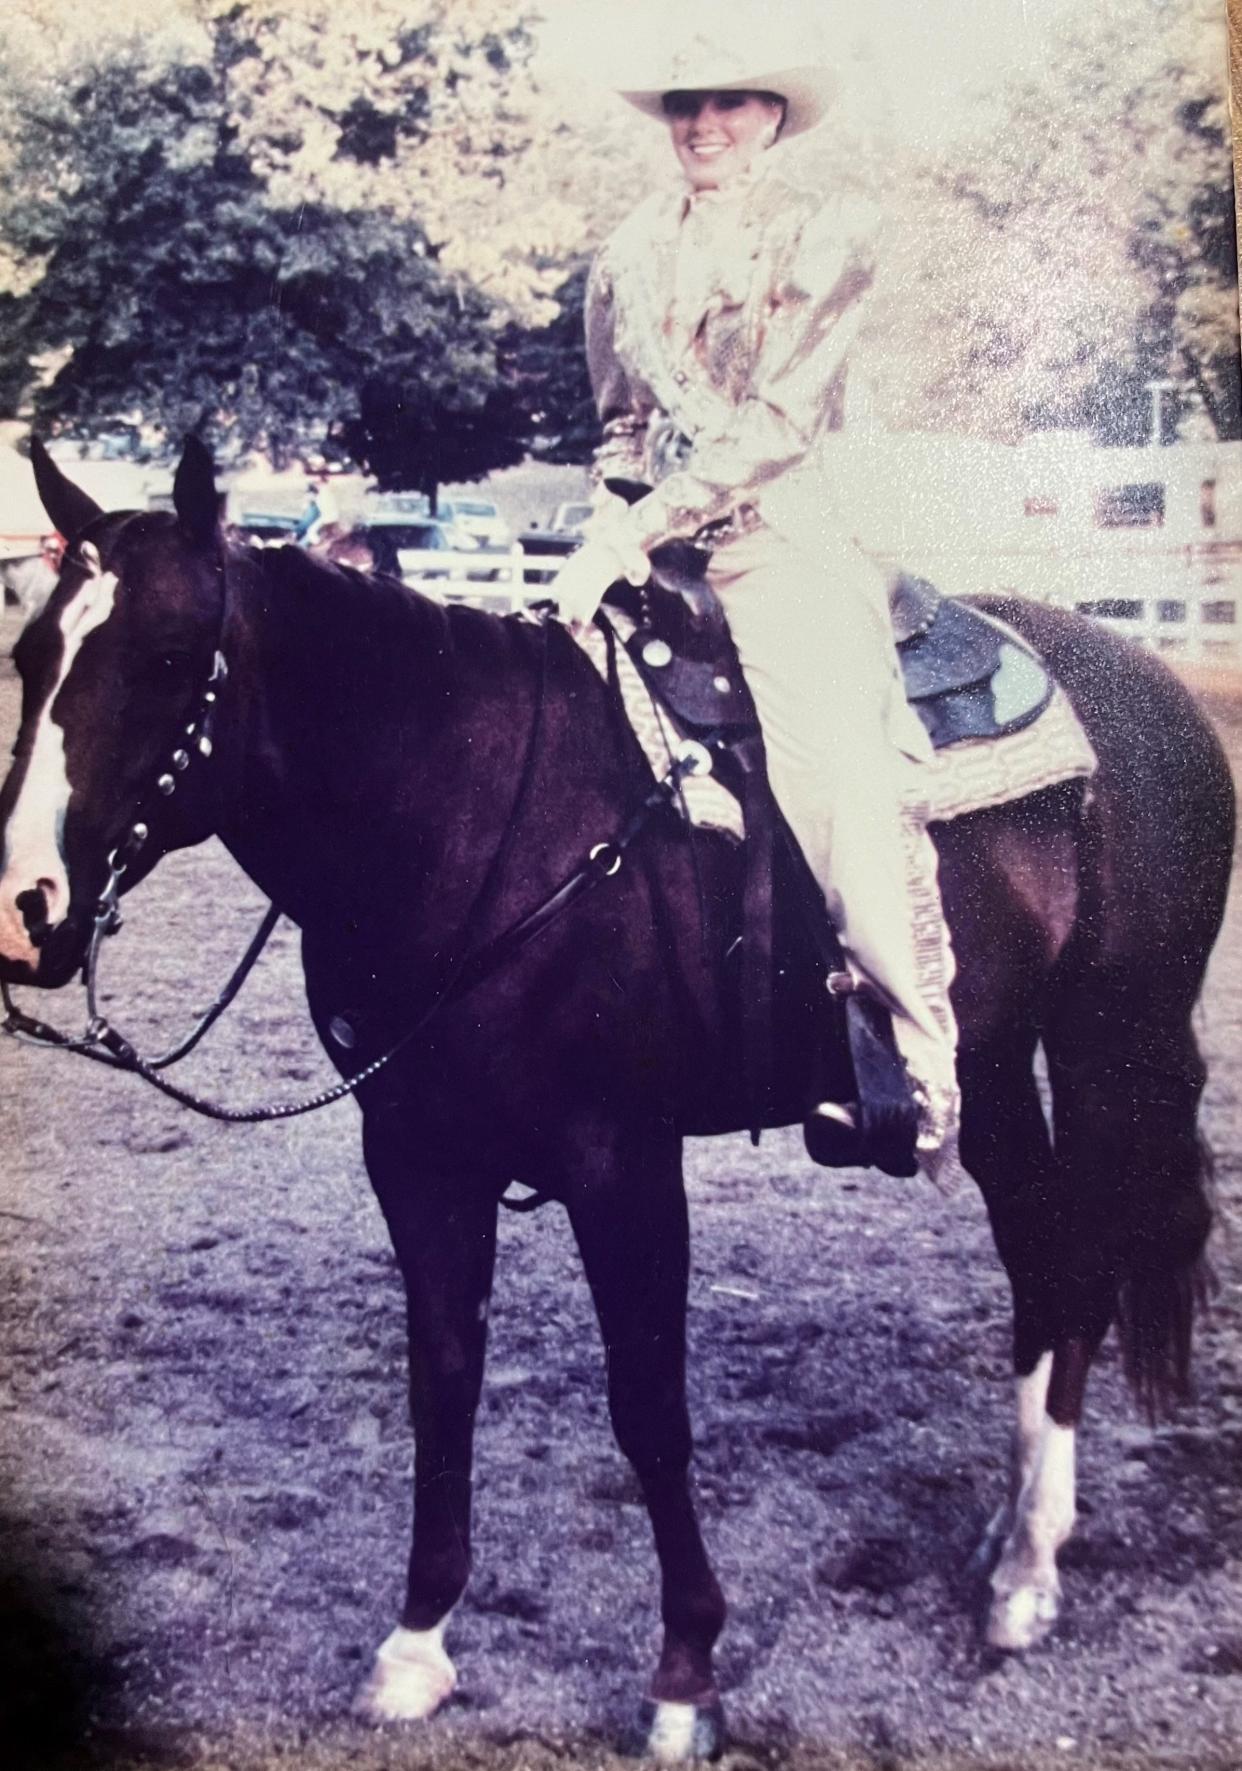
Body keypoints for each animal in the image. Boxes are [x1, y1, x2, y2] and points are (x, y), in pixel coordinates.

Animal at [0, 442, 1233, 1756]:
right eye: (30, 655)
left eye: (169, 655)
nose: (25, 913)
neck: (469, 810)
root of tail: (1149, 683)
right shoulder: (419, 1157)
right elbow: (443, 1384)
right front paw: (416, 1644)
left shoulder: (620, 1161)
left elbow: (647, 1406)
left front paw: (685, 1675)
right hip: (988, 1066)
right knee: (1042, 1264)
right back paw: (1008, 1543)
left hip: (1108, 1044)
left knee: (1081, 1264)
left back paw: (1032, 1570)